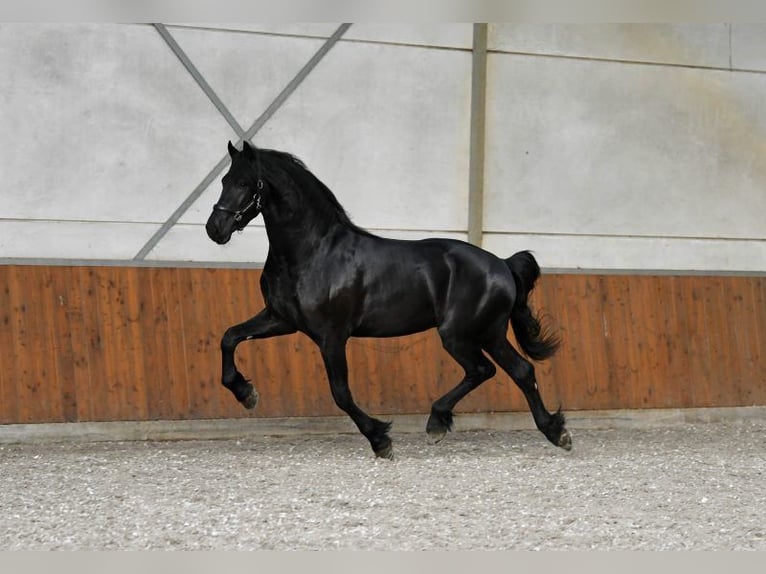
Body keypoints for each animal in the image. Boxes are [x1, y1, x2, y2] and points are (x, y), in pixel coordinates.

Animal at [205, 140, 571, 459]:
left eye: (244, 182)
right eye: (223, 180)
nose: (215, 229)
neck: (313, 252)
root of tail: (503, 265)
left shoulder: (331, 336)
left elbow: (341, 393)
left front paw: (380, 439)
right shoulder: (280, 319)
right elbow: (229, 337)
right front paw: (245, 393)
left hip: (459, 334)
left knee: (483, 370)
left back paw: (438, 422)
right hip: (490, 333)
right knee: (520, 370)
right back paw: (555, 432)